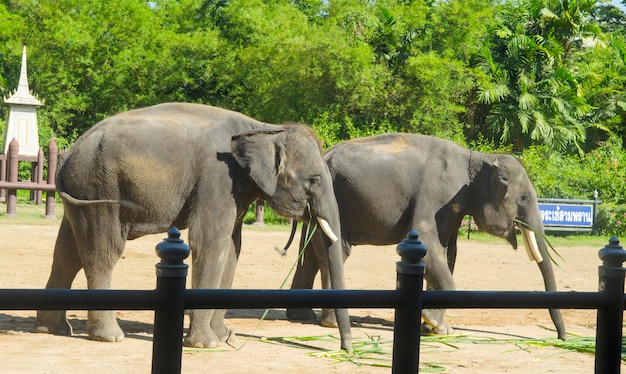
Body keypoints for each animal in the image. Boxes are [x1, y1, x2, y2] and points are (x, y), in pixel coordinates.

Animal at [35, 103, 352, 352]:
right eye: (314, 180)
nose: (346, 350)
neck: (264, 129)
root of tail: (69, 152)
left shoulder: (235, 188)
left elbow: (232, 250)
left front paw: (226, 338)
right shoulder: (218, 178)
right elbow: (210, 243)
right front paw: (206, 344)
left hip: (82, 188)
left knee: (66, 254)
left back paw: (53, 330)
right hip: (99, 186)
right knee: (102, 252)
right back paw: (110, 337)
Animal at [286, 131, 564, 338]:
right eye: (524, 198)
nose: (562, 337)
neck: (477, 158)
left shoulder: (454, 204)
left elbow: (448, 252)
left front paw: (433, 328)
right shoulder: (439, 190)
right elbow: (427, 242)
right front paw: (438, 326)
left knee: (310, 254)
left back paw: (302, 317)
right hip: (336, 199)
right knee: (336, 251)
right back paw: (332, 323)